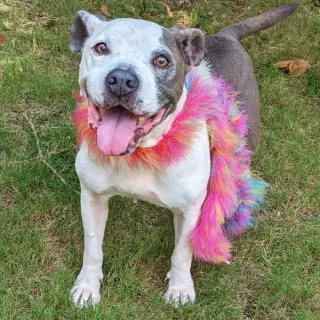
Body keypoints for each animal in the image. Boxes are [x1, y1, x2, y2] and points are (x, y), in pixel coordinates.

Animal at [69, 3, 298, 306]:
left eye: (162, 60)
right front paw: (87, 286)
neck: (143, 151)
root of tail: (226, 36)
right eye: (101, 48)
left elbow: (181, 253)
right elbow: (93, 246)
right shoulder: (92, 197)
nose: (121, 79)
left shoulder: (190, 210)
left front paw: (179, 289)